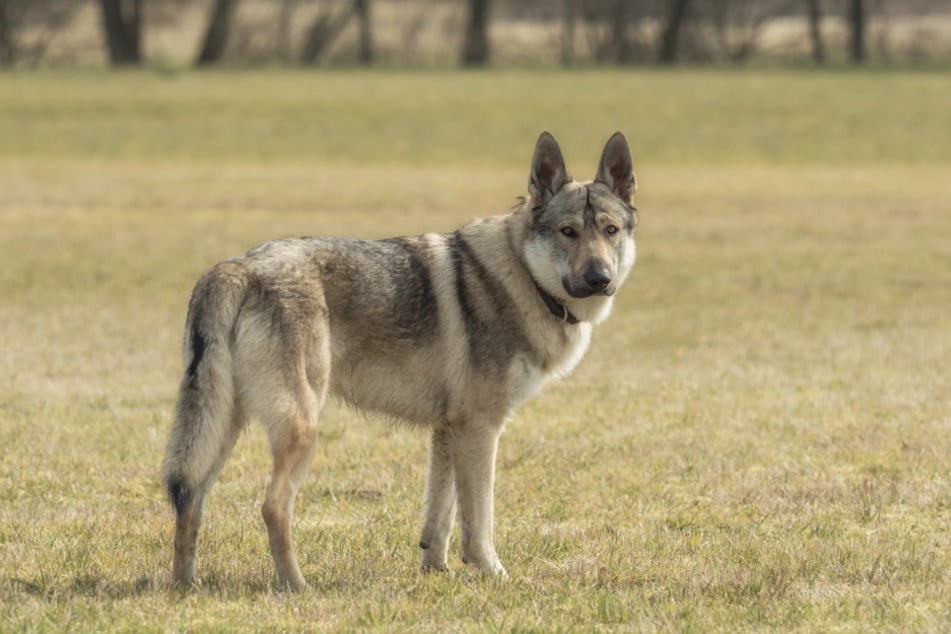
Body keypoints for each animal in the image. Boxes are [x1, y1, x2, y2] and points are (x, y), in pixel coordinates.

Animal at [162, 131, 640, 592]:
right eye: (567, 231)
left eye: (610, 230)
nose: (600, 278)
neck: (522, 278)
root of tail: (238, 266)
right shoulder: (481, 428)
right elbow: (478, 522)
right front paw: (496, 576)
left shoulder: (448, 430)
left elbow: (440, 518)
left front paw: (437, 572)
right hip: (301, 430)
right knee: (272, 507)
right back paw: (297, 586)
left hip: (220, 431)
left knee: (189, 501)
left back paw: (186, 586)